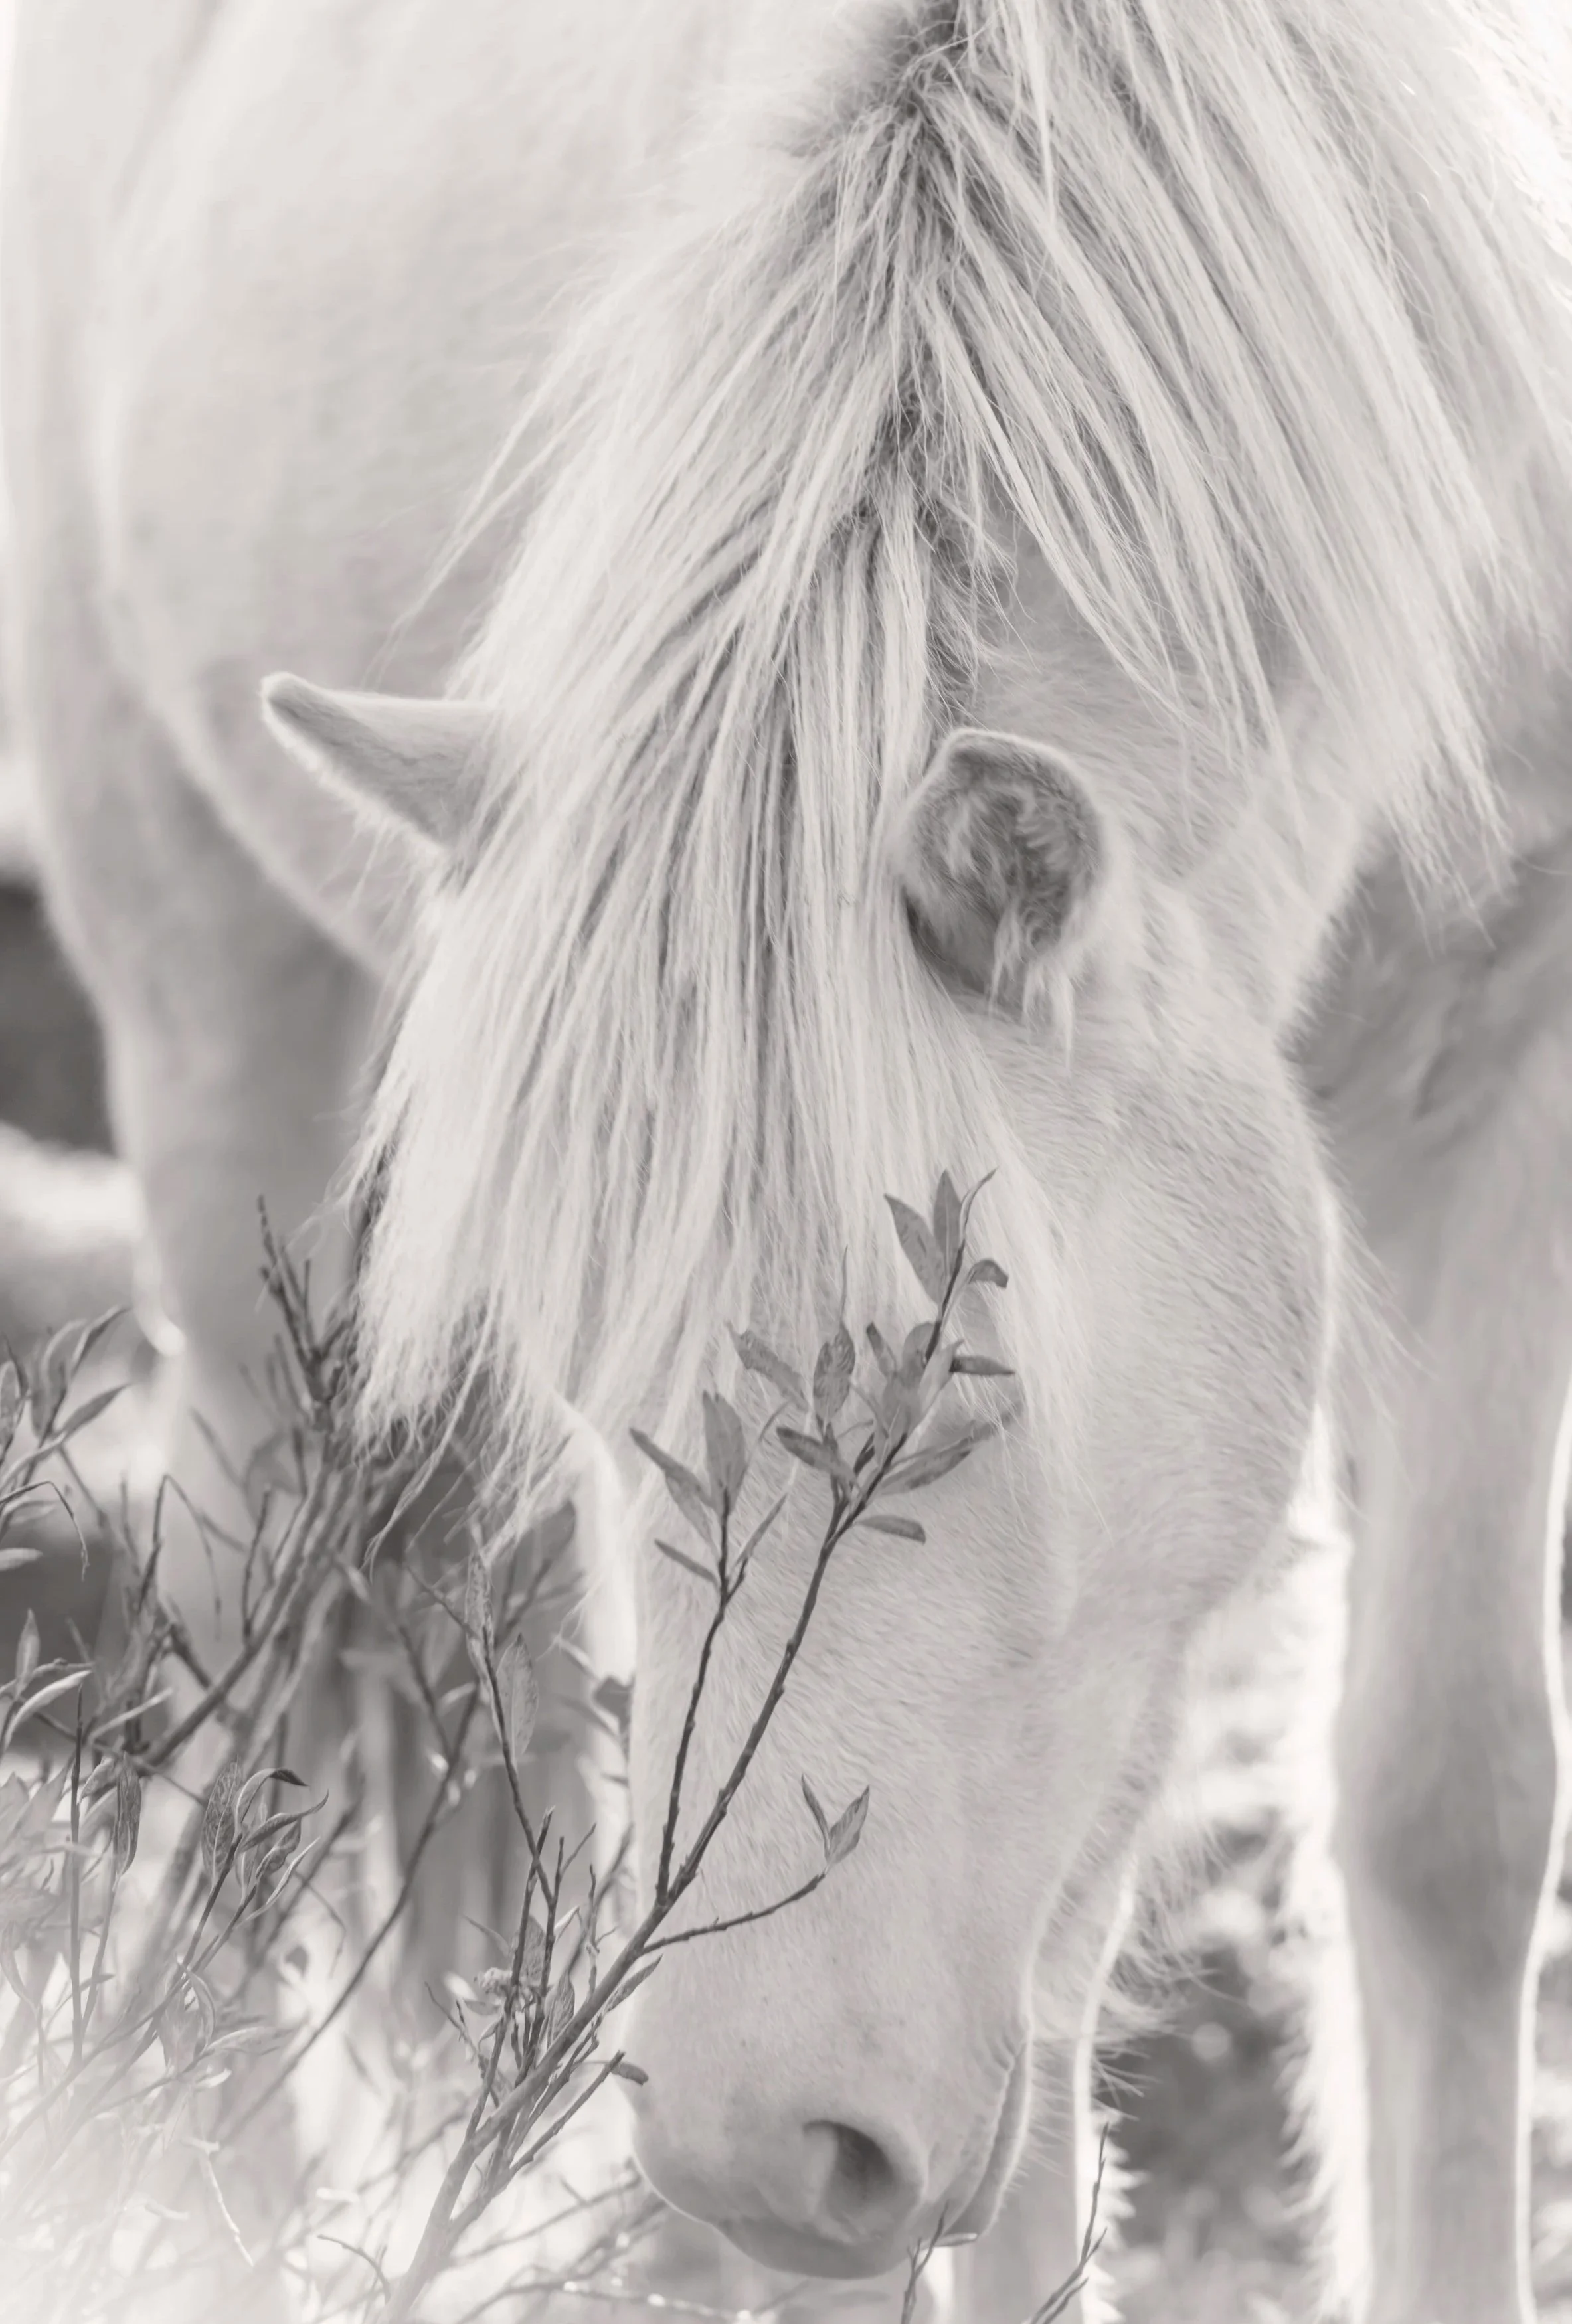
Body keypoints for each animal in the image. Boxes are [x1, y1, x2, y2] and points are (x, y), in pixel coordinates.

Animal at [8, 1, 1572, 2317]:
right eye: (604, 1387)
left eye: (949, 1385)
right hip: (192, 958)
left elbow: (1443, 1813)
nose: (756, 2155)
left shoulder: (1499, 1074)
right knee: (247, 1560)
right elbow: (1040, 2036)